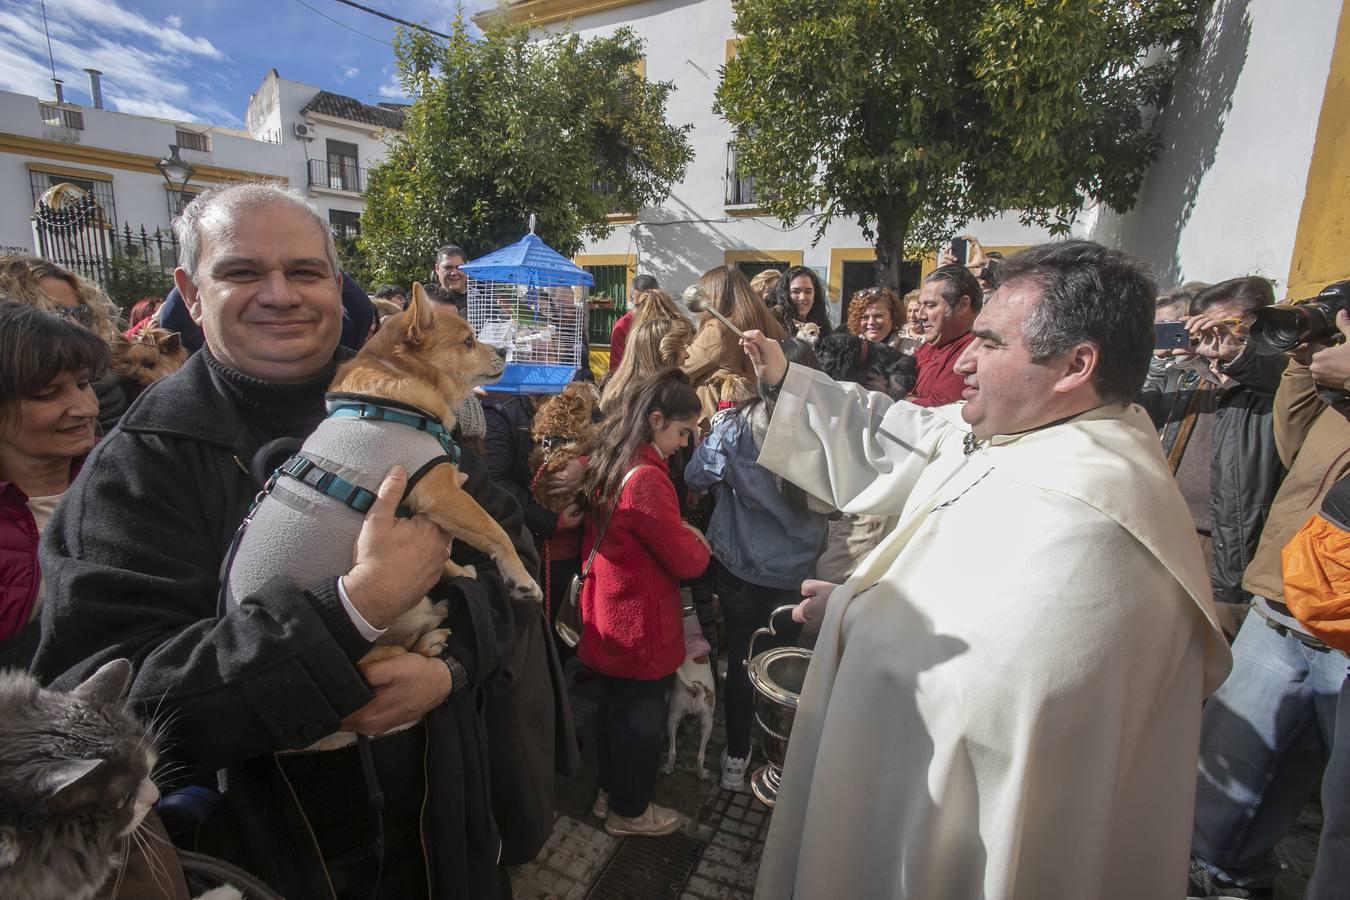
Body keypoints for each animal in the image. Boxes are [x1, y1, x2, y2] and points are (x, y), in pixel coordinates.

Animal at [664, 615, 718, 777]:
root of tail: (696, 686)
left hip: (674, 716)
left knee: (674, 751)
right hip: (706, 722)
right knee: (697, 755)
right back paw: (701, 774)